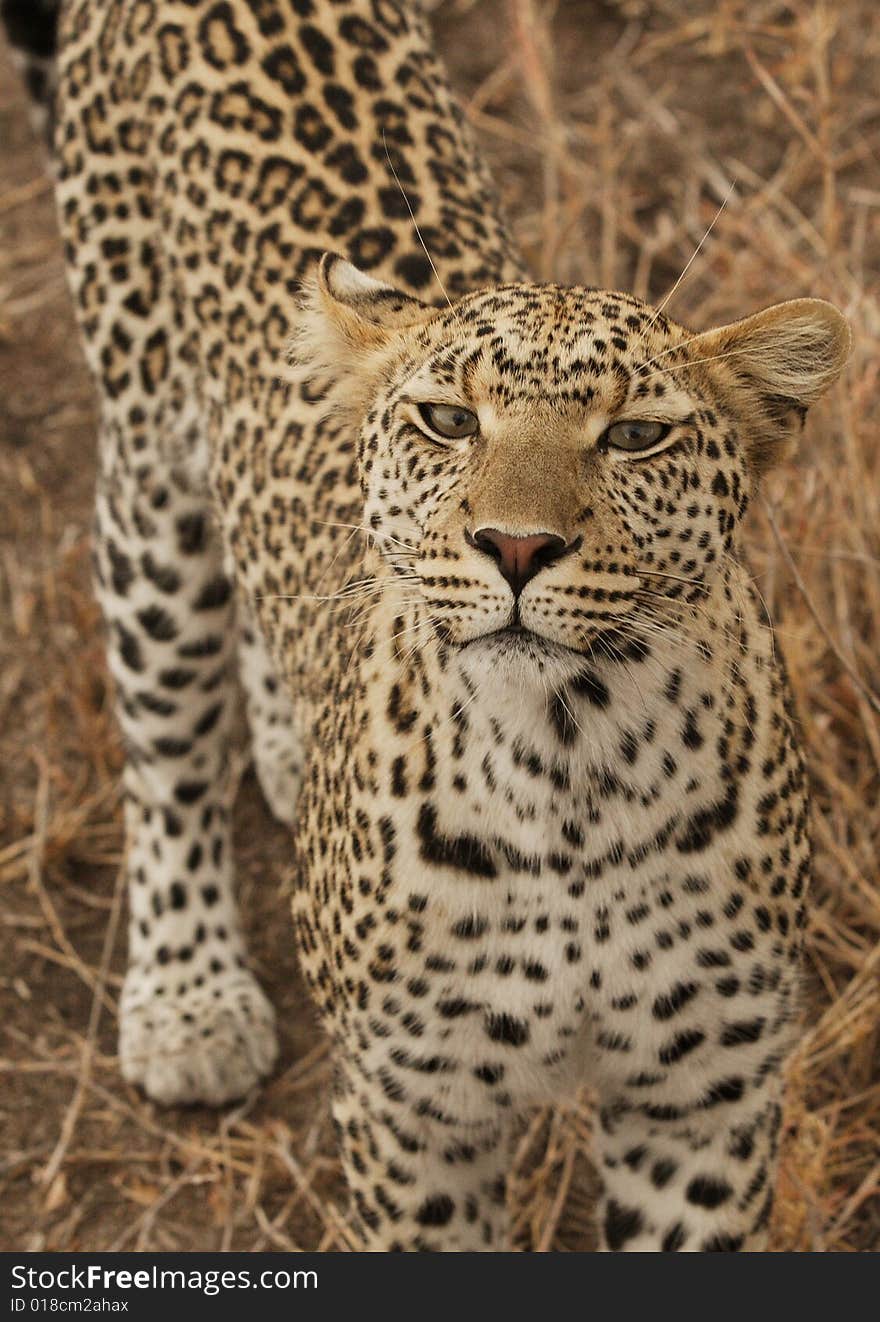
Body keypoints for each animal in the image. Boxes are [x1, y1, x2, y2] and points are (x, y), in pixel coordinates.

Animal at [3, 0, 845, 1247]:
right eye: (448, 421)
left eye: (636, 436)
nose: (515, 546)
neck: (571, 763)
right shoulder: (413, 1108)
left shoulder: (702, 1100)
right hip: (148, 471)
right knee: (164, 747)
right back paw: (189, 995)